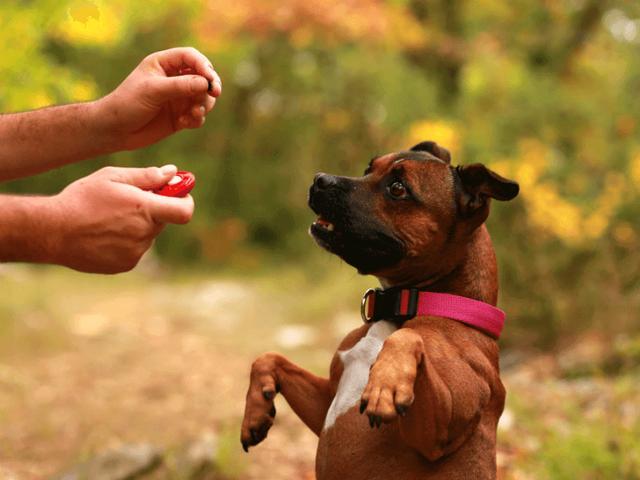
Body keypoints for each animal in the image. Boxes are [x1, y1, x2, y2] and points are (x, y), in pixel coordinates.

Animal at [240, 141, 520, 478]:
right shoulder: (325, 401)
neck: (404, 305)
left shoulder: (440, 431)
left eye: (398, 188)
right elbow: (269, 358)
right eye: (368, 168)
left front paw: (386, 383)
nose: (320, 179)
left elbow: (407, 338)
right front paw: (256, 408)